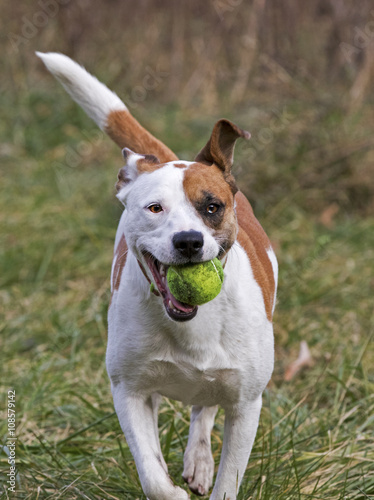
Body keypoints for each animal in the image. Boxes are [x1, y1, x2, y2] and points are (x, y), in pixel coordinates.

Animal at [37, 51, 278, 500]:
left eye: (212, 206)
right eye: (154, 208)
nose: (188, 242)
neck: (191, 324)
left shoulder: (246, 403)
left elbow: (229, 477)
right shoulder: (130, 390)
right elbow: (152, 476)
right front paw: (171, 487)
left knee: (204, 405)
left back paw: (199, 460)